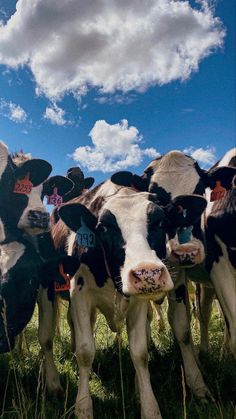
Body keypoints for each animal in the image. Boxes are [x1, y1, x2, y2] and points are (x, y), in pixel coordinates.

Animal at [48, 177, 206, 419]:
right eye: (104, 227)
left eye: (160, 222)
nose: (147, 273)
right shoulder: (79, 295)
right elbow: (85, 351)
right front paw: (83, 407)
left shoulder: (139, 302)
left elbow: (139, 352)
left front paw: (149, 407)